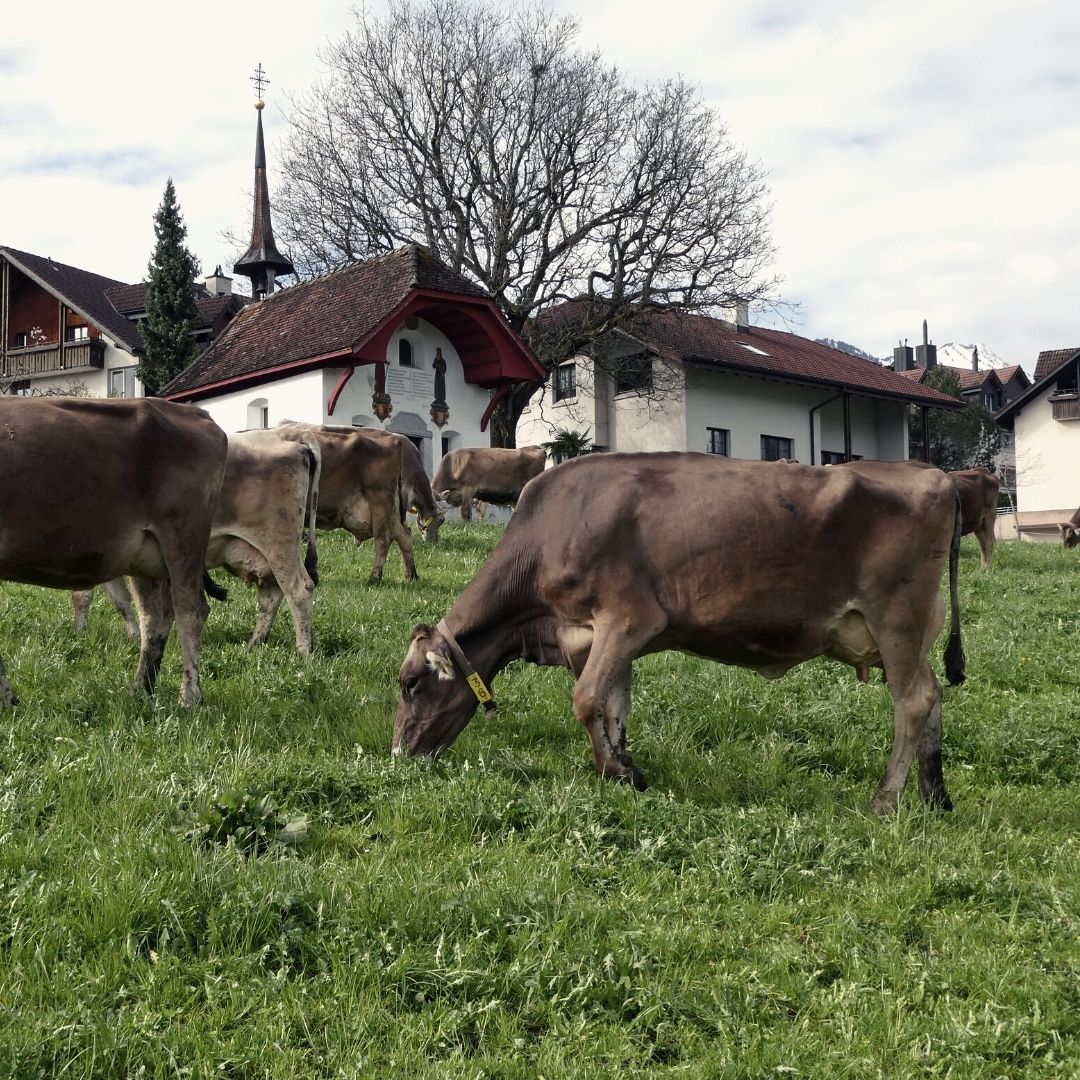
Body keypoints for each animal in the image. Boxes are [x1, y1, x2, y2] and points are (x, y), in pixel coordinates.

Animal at [0, 397, 227, 708]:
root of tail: (193, 411)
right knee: (155, 617)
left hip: (183, 538)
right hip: (146, 557)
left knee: (190, 612)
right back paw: (141, 689)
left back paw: (189, 697)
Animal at [274, 425, 416, 587]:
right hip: (389, 509)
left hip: (379, 500)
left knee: (383, 538)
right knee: (404, 535)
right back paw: (411, 576)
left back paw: (374, 578)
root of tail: (394, 440)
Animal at [393, 451, 967, 812]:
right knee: (934, 694)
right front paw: (626, 765)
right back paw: (934, 795)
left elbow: (585, 699)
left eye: (411, 684)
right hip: (918, 628)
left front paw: (615, 772)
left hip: (895, 618)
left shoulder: (629, 616)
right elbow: (613, 704)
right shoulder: (599, 635)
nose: (399, 756)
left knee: (913, 700)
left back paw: (885, 800)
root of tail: (936, 478)